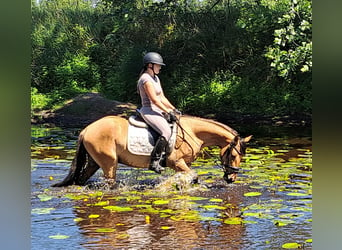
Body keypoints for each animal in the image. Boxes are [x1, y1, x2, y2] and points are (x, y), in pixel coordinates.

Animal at [52, 114, 252, 187]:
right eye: (234, 155)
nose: (231, 178)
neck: (193, 132)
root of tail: (86, 129)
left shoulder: (181, 164)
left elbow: (191, 176)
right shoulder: (176, 162)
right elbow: (193, 175)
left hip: (94, 162)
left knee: (80, 179)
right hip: (109, 163)